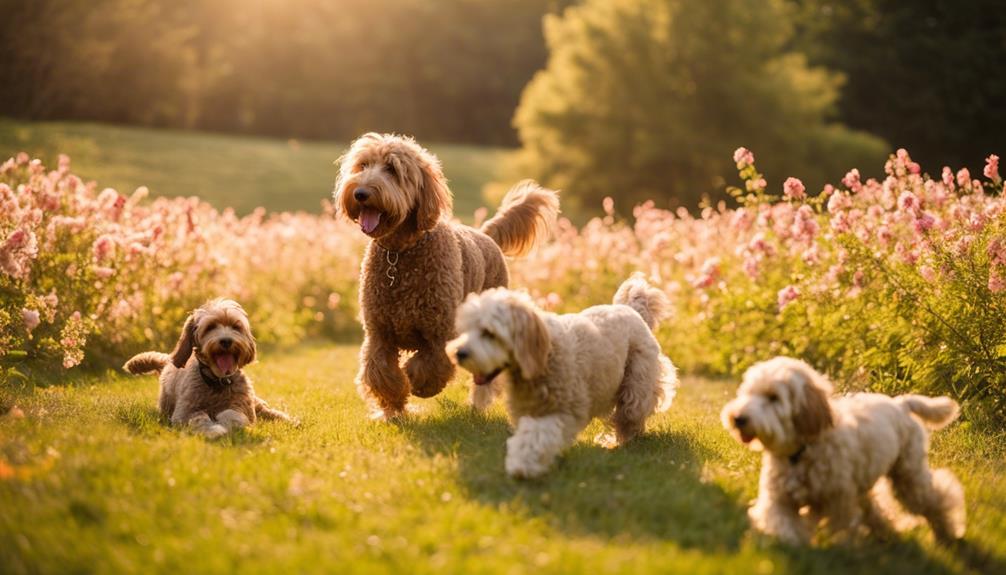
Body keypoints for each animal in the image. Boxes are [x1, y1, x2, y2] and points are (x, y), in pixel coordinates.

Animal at [123, 299, 291, 438]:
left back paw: (289, 421)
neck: (218, 382)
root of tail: (167, 363)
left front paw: (226, 422)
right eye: (210, 327)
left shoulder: (244, 407)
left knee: (267, 410)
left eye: (236, 327)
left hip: (254, 400)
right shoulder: (184, 412)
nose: (226, 341)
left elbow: (233, 414)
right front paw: (214, 430)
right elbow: (199, 418)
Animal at [446, 273, 676, 476]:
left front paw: (523, 463)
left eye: (489, 333)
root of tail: (631, 309)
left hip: (636, 388)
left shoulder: (565, 411)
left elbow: (540, 435)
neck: (545, 353)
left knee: (628, 421)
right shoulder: (529, 410)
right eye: (466, 329)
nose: (459, 353)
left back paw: (616, 442)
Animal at [724, 357, 965, 546]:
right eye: (747, 393)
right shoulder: (779, 500)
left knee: (937, 499)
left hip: (909, 477)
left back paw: (946, 534)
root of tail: (901, 404)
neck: (801, 452)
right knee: (876, 509)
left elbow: (839, 530)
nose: (738, 418)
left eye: (774, 397)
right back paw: (885, 534)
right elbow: (784, 524)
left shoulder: (836, 502)